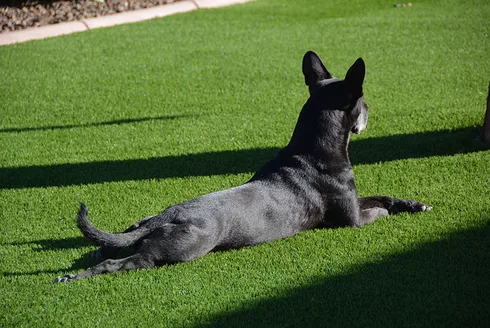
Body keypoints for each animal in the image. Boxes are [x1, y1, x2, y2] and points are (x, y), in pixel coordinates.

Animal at [56, 51, 428, 282]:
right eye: (363, 102)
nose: (370, 112)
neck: (314, 149)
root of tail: (167, 215)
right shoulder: (351, 219)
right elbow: (377, 210)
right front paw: (390, 211)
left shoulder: (353, 198)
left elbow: (384, 196)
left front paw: (413, 204)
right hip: (180, 251)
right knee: (126, 262)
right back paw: (78, 275)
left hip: (137, 230)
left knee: (110, 246)